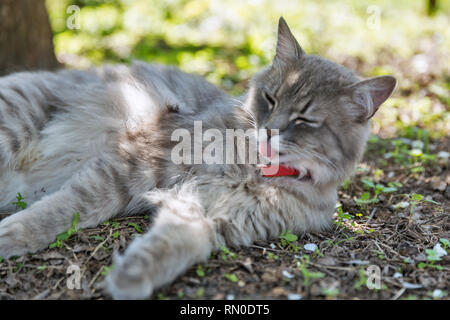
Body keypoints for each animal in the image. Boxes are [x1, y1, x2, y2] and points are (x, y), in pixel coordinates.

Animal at [0, 16, 394, 298]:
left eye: (305, 120)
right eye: (270, 98)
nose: (269, 129)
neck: (253, 170)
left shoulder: (209, 214)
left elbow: (171, 246)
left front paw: (131, 276)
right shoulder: (137, 163)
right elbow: (67, 207)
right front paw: (15, 234)